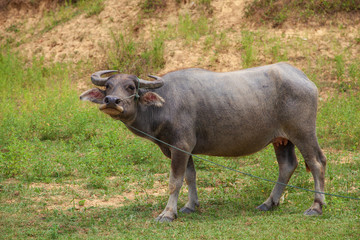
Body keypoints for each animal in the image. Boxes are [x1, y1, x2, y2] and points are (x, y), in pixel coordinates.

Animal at [81, 62, 326, 222]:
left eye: (131, 87)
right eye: (108, 86)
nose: (112, 101)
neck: (164, 104)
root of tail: (304, 78)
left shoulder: (180, 146)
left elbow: (175, 181)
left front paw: (168, 213)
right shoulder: (183, 149)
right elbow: (190, 176)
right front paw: (190, 206)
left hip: (303, 132)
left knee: (317, 162)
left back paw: (316, 206)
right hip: (281, 140)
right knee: (287, 165)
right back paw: (269, 203)